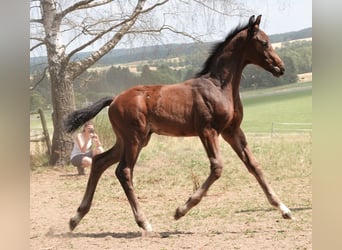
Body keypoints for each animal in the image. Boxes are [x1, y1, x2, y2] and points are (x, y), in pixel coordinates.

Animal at [65, 15, 292, 233]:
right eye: (264, 42)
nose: (281, 68)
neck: (219, 86)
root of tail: (114, 100)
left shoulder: (232, 131)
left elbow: (254, 165)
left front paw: (284, 209)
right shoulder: (208, 131)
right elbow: (217, 167)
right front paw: (181, 210)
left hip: (130, 139)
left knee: (99, 161)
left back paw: (76, 218)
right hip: (134, 139)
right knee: (124, 171)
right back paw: (144, 222)